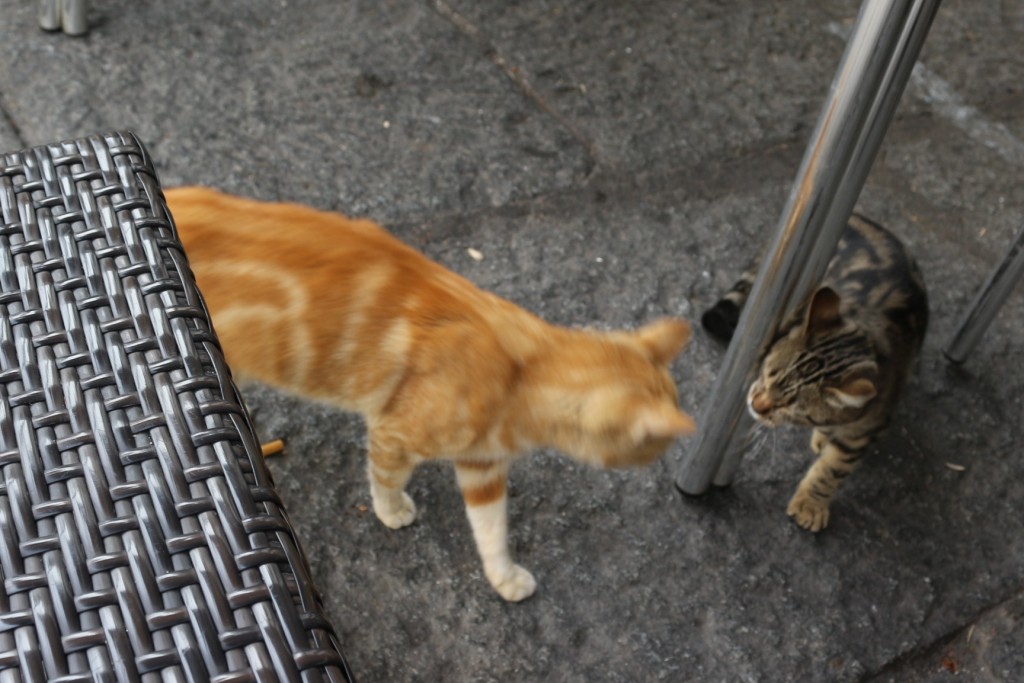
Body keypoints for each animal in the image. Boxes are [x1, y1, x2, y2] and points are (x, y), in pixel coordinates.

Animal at [165, 187, 696, 602]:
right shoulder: (394, 431)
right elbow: (385, 476)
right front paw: (390, 509)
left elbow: (491, 528)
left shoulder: (483, 465)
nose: (657, 463)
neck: (523, 371)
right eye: (655, 446)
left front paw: (503, 576)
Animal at [704, 216, 929, 532]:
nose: (756, 405)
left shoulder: (865, 429)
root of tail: (861, 217)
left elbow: (831, 470)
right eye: (768, 372)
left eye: (793, 408)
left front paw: (810, 503)